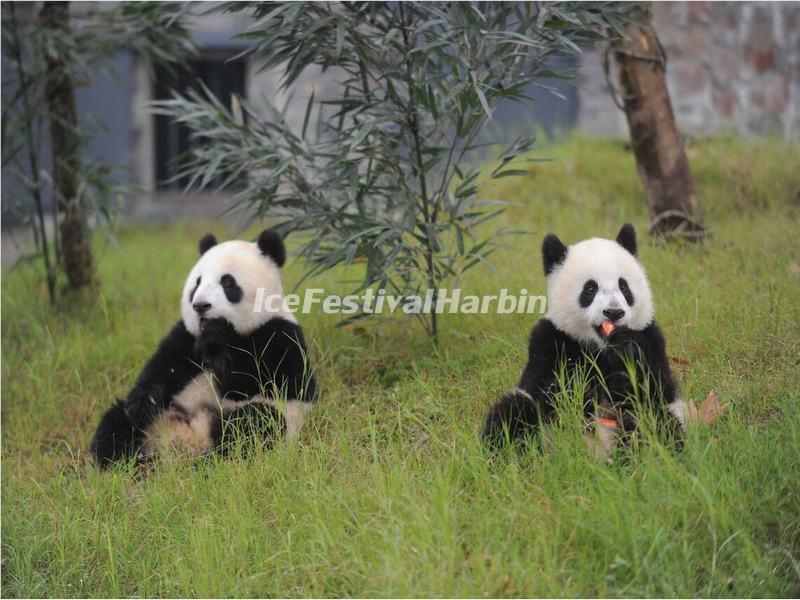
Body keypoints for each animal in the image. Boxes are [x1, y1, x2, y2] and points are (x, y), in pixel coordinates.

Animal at [90, 229, 316, 467]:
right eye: (197, 283)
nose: (200, 306)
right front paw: (145, 400)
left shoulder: (280, 335)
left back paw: (212, 459)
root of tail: (188, 436)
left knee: (255, 424)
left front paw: (216, 340)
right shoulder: (185, 337)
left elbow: (266, 380)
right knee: (117, 420)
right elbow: (162, 368)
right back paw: (120, 457)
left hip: (272, 418)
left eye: (228, 282)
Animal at [483, 224, 687, 457]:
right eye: (590, 288)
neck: (600, 347)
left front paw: (626, 353)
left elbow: (657, 388)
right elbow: (550, 389)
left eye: (624, 286)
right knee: (514, 413)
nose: (613, 312)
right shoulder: (550, 340)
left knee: (656, 421)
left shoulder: (652, 338)